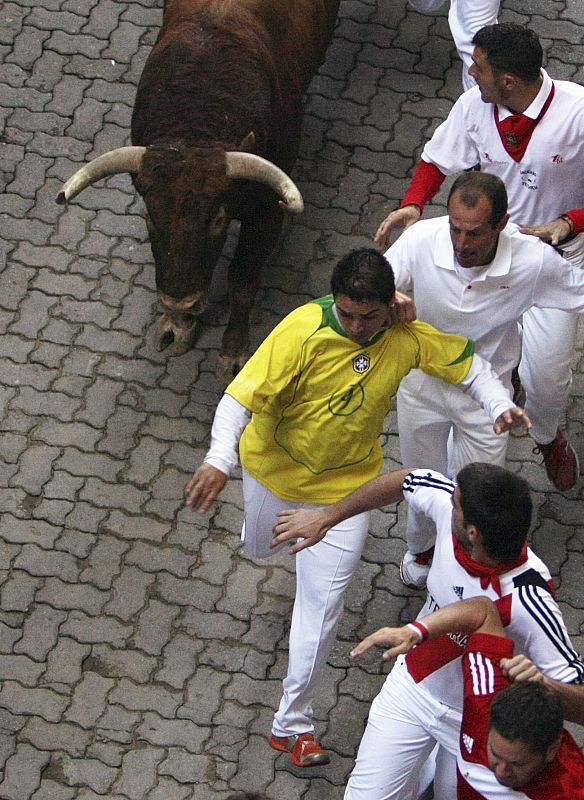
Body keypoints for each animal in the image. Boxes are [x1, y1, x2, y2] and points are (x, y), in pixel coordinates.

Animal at [57, 0, 340, 380]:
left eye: (218, 219)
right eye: (149, 216)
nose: (181, 301)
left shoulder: (268, 210)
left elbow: (242, 279)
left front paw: (233, 350)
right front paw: (178, 324)